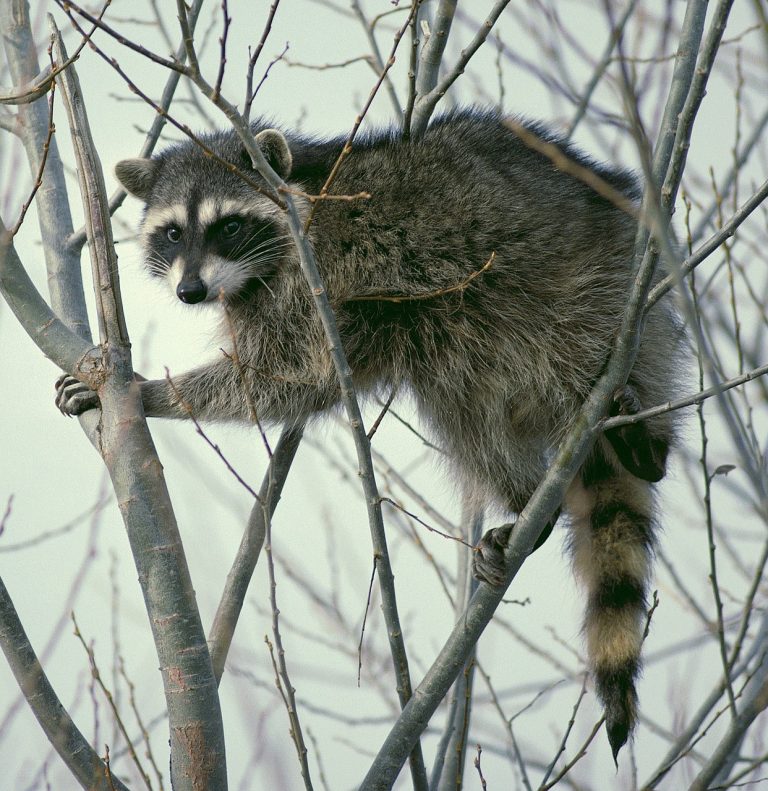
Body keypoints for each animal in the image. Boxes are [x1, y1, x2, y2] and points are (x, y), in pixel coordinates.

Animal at [56, 109, 683, 759]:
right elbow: (298, 383)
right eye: (173, 233)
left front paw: (152, 392)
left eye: (228, 226)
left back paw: (644, 441)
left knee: (572, 350)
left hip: (594, 290)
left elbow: (286, 374)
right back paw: (526, 498)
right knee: (462, 408)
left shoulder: (318, 279)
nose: (191, 292)